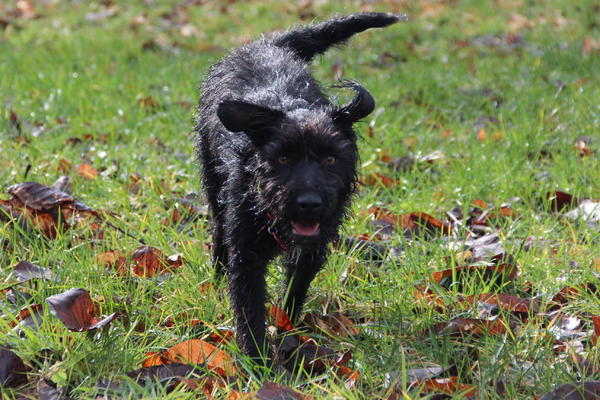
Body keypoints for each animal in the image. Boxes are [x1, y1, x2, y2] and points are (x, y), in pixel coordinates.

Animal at [197, 12, 400, 362]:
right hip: (213, 183)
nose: (308, 203)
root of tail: (268, 43)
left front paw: (287, 333)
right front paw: (258, 362)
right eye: (282, 158)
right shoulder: (247, 254)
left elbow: (294, 293)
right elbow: (249, 309)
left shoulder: (311, 251)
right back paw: (217, 276)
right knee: (219, 230)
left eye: (330, 159)